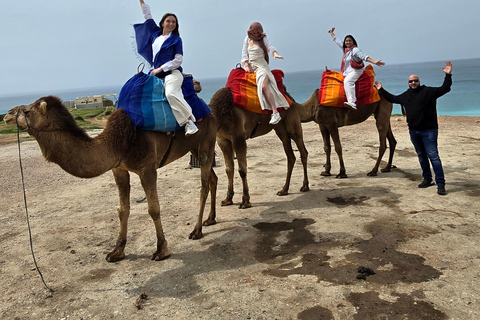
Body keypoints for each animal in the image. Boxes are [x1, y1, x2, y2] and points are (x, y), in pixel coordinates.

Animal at [3, 95, 218, 262]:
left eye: (27, 111)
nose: (8, 114)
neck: (118, 142)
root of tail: (209, 111)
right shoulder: (119, 169)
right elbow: (122, 209)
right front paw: (117, 251)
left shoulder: (147, 169)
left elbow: (153, 209)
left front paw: (161, 250)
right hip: (194, 147)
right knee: (213, 179)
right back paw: (210, 219)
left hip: (206, 142)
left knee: (204, 185)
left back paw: (197, 230)